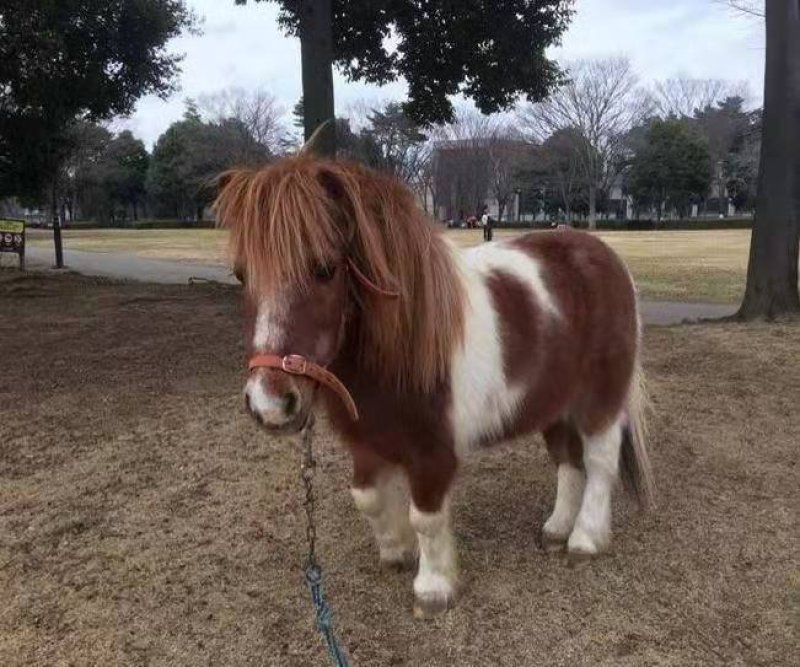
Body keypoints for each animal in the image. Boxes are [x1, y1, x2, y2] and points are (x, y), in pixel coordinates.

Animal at [213, 154, 654, 619]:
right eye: (241, 275)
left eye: (324, 269)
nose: (269, 404)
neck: (400, 348)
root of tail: (605, 255)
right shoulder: (368, 442)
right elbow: (367, 497)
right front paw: (397, 551)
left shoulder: (433, 451)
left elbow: (426, 516)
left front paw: (433, 587)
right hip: (554, 406)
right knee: (568, 462)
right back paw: (555, 530)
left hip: (600, 402)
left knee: (600, 462)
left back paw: (585, 539)